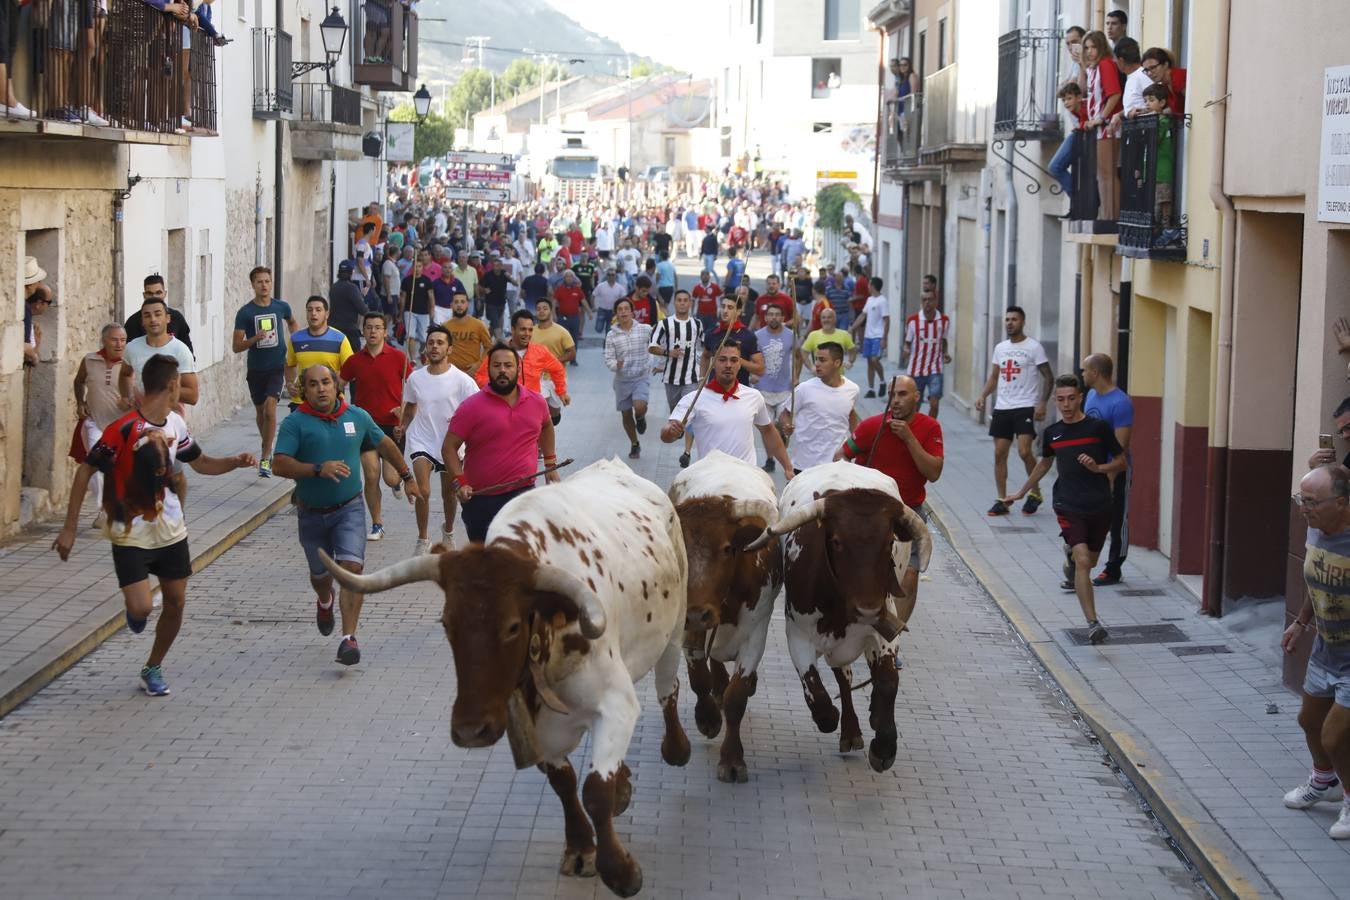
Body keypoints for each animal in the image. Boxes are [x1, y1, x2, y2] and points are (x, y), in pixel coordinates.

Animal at [321, 461, 691, 895]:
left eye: (513, 626)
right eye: (447, 623)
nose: (470, 731)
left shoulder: (615, 703)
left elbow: (595, 790)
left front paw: (620, 870)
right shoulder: (535, 724)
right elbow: (564, 781)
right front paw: (581, 848)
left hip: (675, 629)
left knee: (668, 689)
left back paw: (677, 746)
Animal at [669, 450, 788, 782]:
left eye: (726, 548)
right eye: (681, 547)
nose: (698, 614)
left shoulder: (755, 635)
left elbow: (737, 698)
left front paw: (733, 759)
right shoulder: (690, 629)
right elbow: (699, 678)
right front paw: (708, 718)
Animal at [745, 464, 934, 777]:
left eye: (889, 542)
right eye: (836, 541)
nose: (867, 609)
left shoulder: (885, 628)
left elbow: (887, 681)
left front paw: (884, 747)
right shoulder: (797, 634)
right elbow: (817, 693)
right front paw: (833, 718)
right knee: (843, 677)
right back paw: (850, 731)